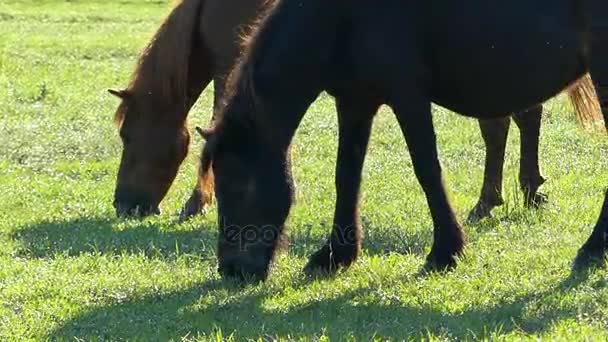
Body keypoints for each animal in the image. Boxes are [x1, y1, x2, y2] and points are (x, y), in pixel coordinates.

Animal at [108, 0, 604, 220]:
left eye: (127, 136)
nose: (123, 204)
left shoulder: (234, 65)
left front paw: (198, 202)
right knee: (514, 120)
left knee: (508, 122)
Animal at [196, 0, 608, 280]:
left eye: (234, 184)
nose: (231, 268)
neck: (340, 17)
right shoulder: (355, 101)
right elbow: (346, 176)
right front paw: (336, 254)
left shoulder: (407, 96)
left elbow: (427, 170)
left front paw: (445, 251)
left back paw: (592, 249)